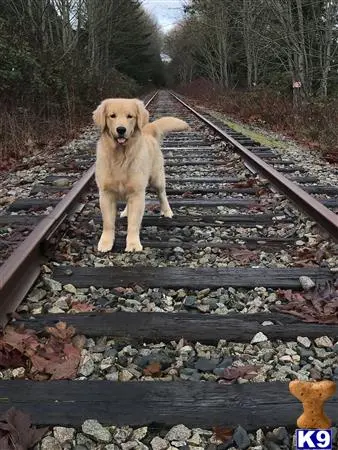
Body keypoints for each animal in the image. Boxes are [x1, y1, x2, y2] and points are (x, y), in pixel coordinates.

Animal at [92, 98, 190, 251]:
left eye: (130, 116)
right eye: (112, 116)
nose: (121, 129)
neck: (120, 156)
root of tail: (148, 131)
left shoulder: (137, 193)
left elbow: (133, 223)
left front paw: (133, 244)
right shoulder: (106, 194)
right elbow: (108, 223)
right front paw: (106, 243)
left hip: (157, 178)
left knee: (162, 195)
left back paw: (167, 211)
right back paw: (125, 212)